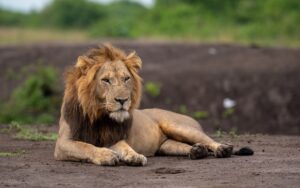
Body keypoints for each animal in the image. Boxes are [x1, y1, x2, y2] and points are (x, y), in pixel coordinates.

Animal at [54, 43, 253, 165]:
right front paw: (106, 154)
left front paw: (134, 156)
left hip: (180, 127)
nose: (122, 100)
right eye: (106, 80)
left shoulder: (113, 138)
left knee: (209, 141)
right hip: (166, 146)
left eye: (126, 79)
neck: (99, 115)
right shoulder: (63, 143)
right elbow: (86, 146)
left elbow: (124, 146)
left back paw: (222, 149)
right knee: (186, 147)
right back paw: (197, 151)